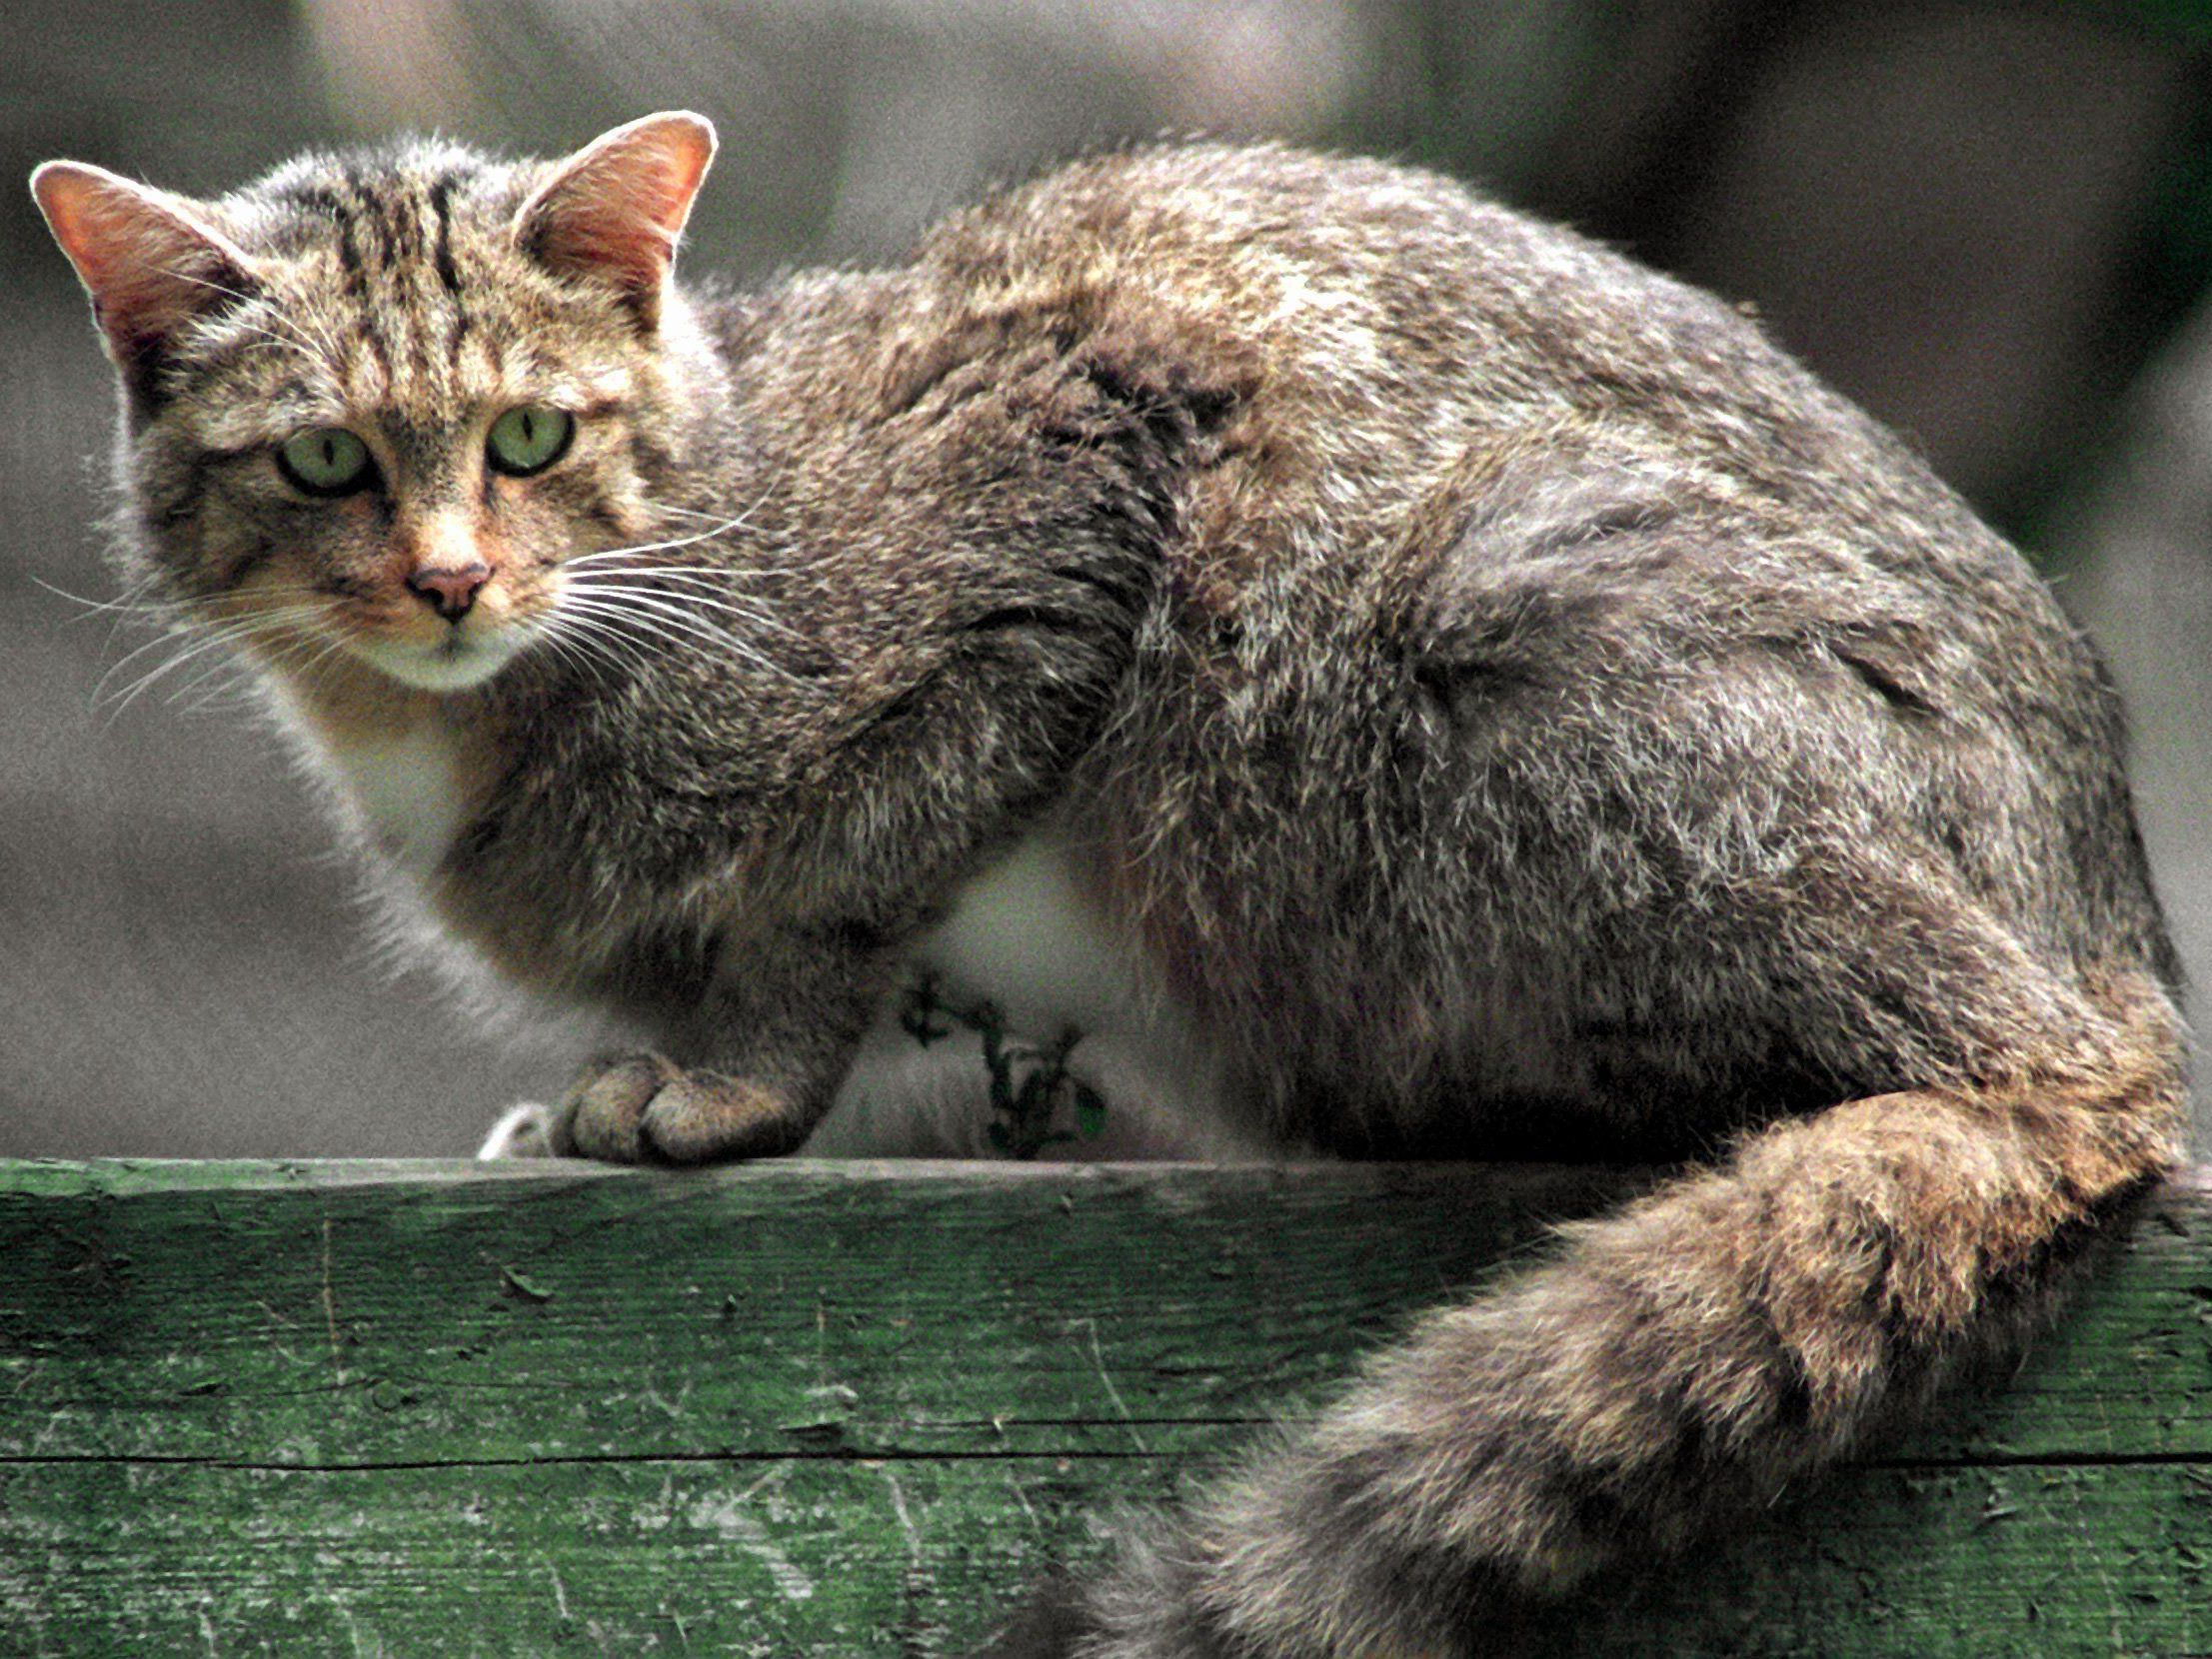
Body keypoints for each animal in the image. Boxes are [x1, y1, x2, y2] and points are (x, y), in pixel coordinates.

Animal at [39, 110, 2194, 1654]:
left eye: (529, 433)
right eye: (323, 460)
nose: (447, 581)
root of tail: (2114, 958)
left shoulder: (1072, 474)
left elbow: (844, 882)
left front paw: (729, 1084)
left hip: (1520, 599)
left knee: (2021, 1082)